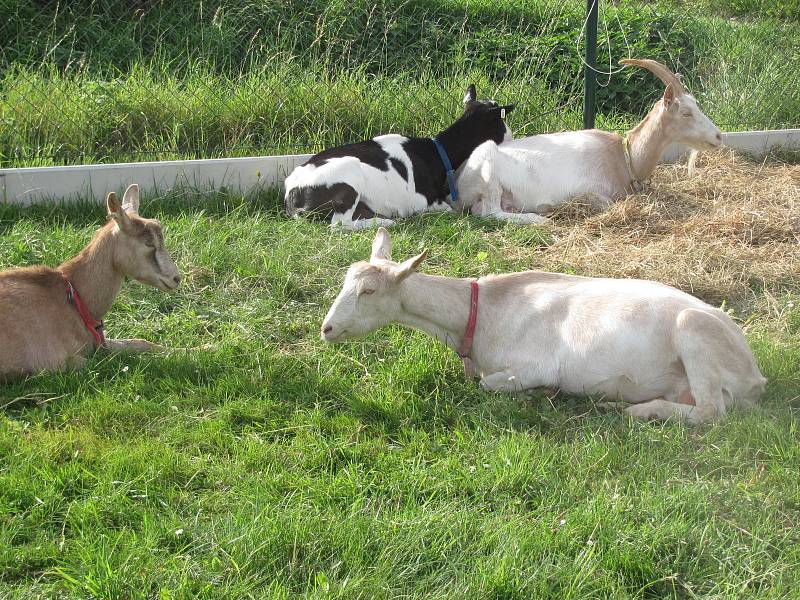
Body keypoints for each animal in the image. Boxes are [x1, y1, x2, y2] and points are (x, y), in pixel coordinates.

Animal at [0, 185, 181, 378]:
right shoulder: (52, 362)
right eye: (148, 244)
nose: (176, 278)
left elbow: (142, 342)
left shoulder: (100, 341)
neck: (73, 300)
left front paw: (193, 350)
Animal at [284, 85, 516, 231]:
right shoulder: (424, 202)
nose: (512, 136)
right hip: (349, 173)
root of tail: (292, 194)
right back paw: (386, 224)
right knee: (339, 224)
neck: (436, 152)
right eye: (501, 121)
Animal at [322, 227, 764, 424]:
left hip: (696, 334)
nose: (326, 328)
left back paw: (634, 410)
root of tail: (755, 374)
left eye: (369, 290)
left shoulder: (534, 365)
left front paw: (541, 394)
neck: (482, 312)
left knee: (711, 411)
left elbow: (489, 384)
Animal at [456, 59, 724, 223]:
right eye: (686, 113)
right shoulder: (588, 191)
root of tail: (459, 180)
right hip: (488, 169)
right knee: (488, 212)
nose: (718, 136)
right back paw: (539, 218)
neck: (624, 158)